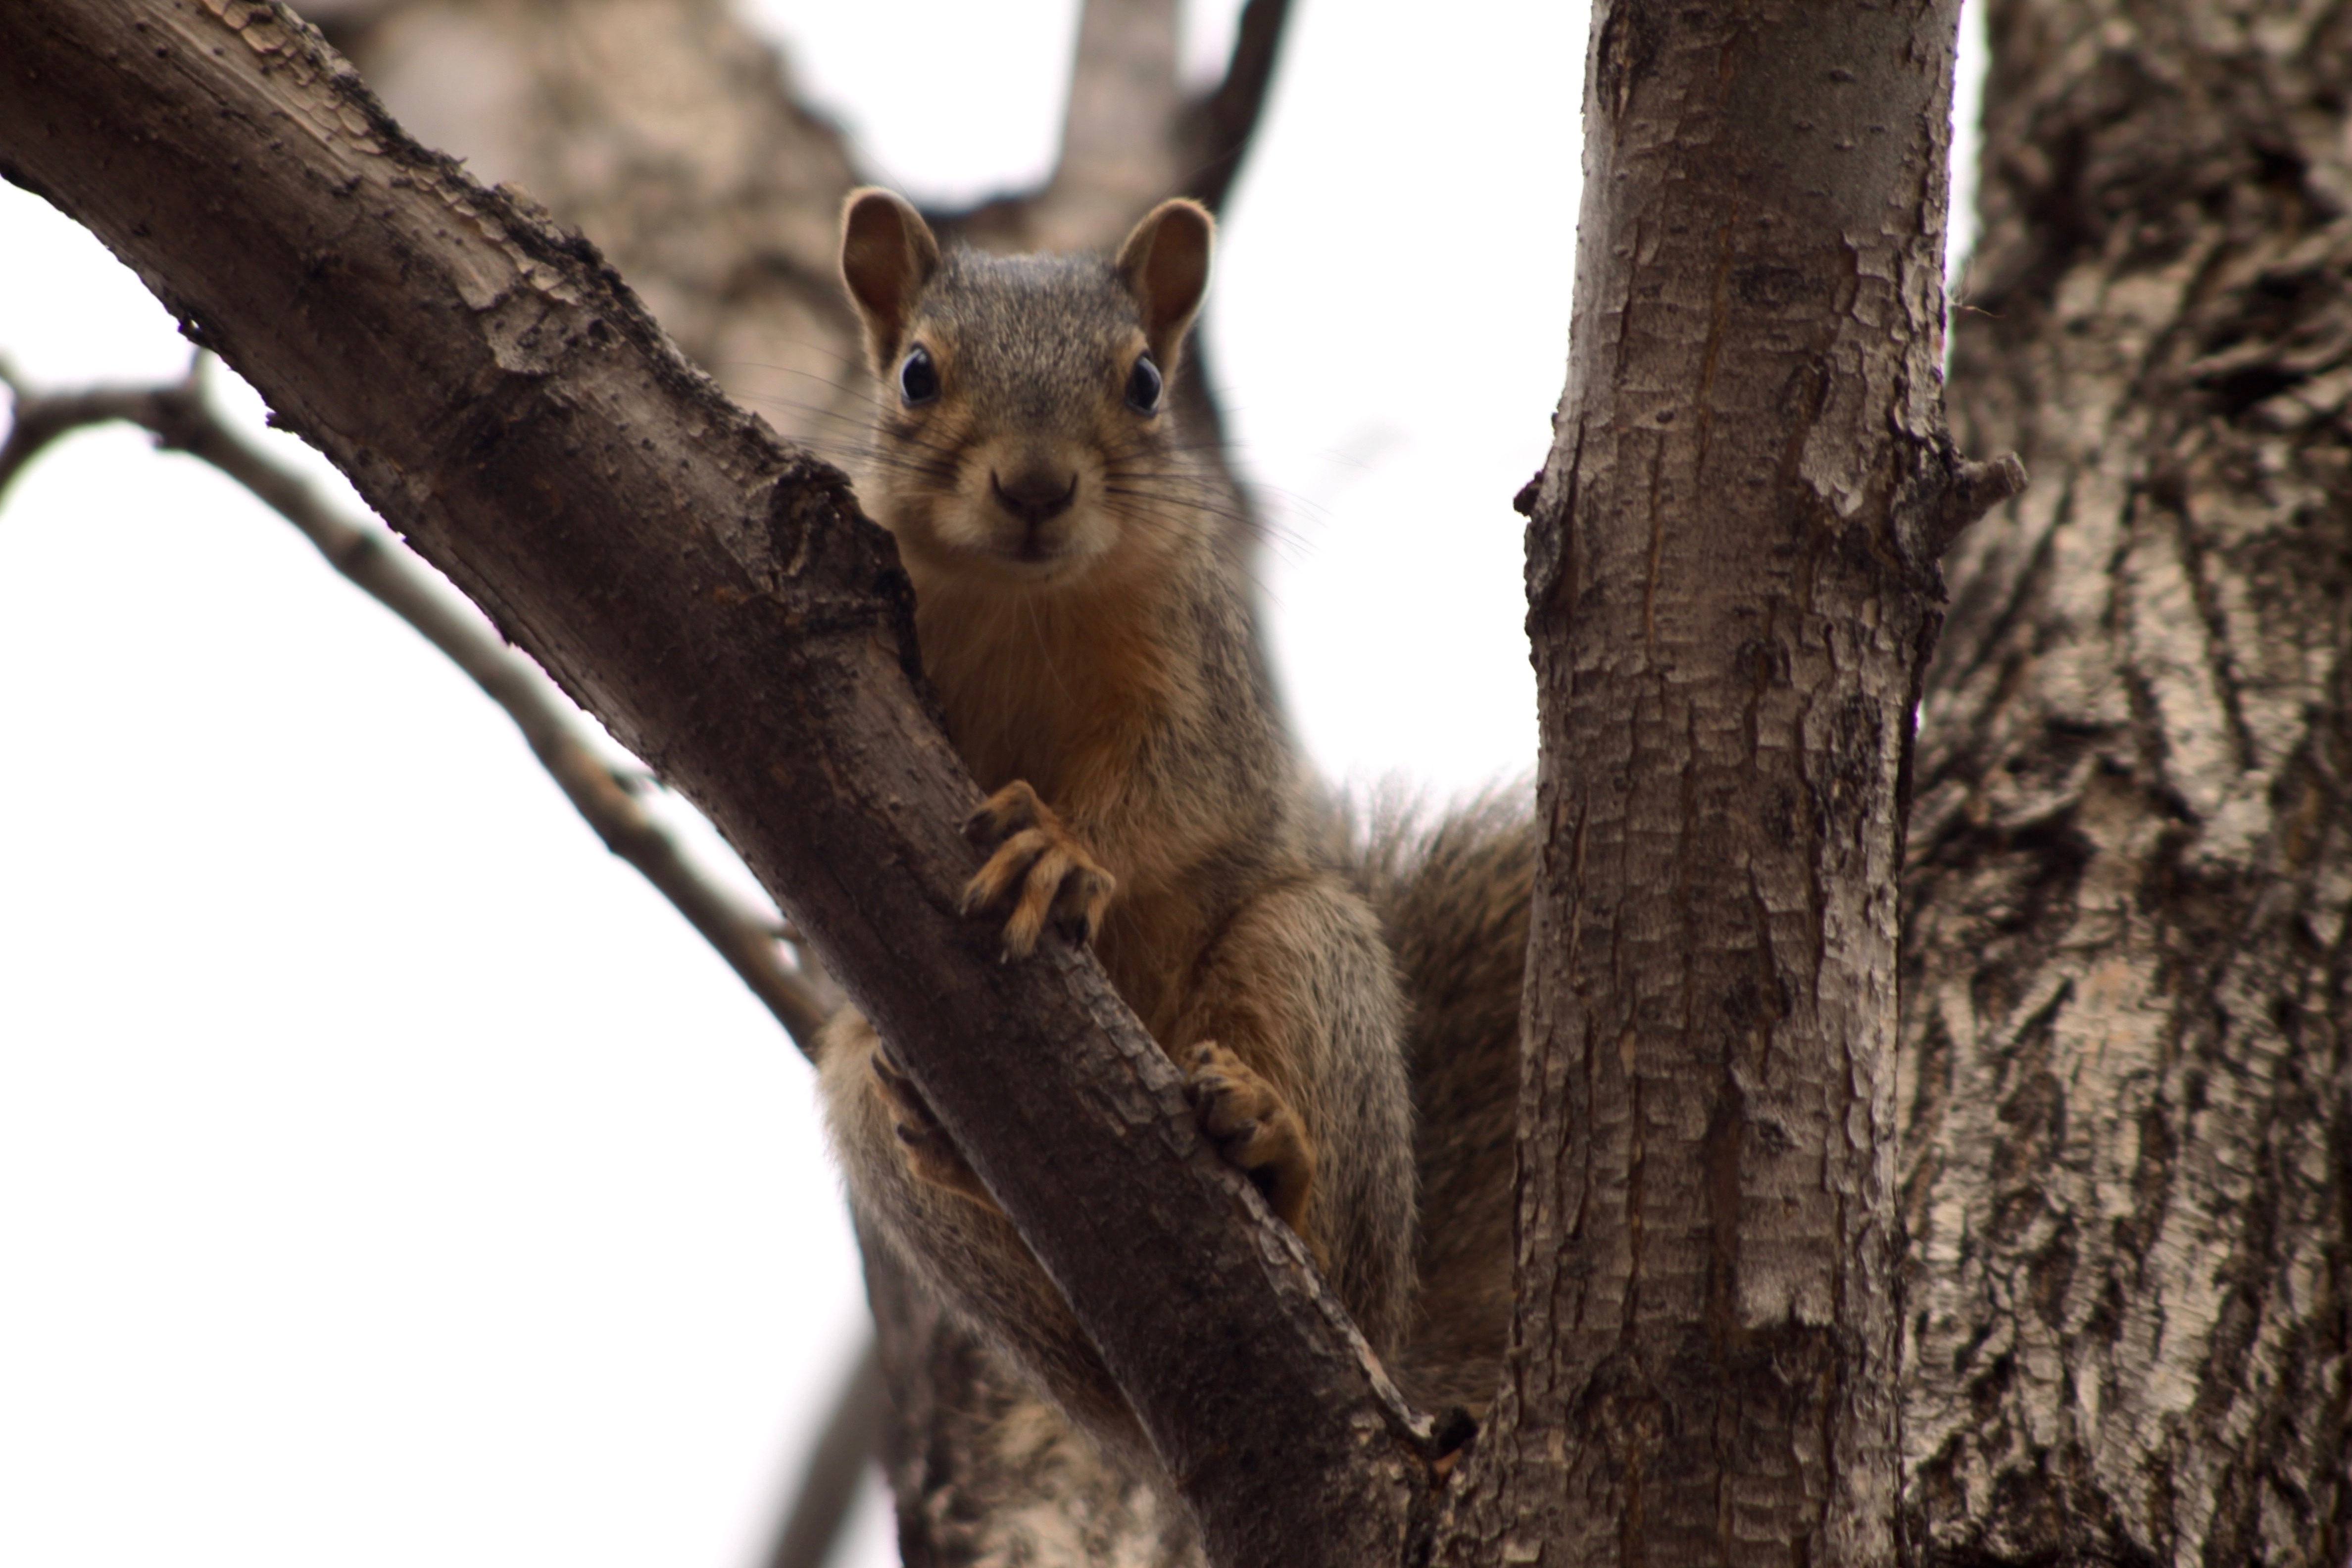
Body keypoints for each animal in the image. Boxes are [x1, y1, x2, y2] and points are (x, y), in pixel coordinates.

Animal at [818, 190, 1524, 1467]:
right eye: (915, 374)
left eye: (1146, 382)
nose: (1035, 487)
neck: (1023, 600)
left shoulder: (1197, 662)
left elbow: (1182, 786)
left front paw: (1064, 850)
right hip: (862, 1094)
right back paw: (955, 1147)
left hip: (1305, 948)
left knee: (1334, 1261)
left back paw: (1273, 1154)